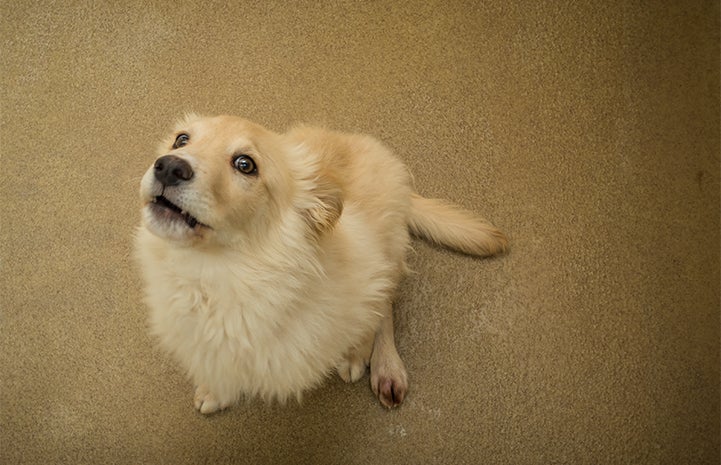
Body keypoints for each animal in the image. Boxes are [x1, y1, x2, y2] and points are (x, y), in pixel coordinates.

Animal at [135, 114, 506, 412]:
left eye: (245, 164)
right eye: (182, 139)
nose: (168, 166)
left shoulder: (366, 274)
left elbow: (368, 319)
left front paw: (356, 353)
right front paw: (216, 391)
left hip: (390, 249)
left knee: (386, 306)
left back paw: (384, 366)